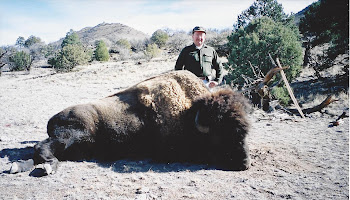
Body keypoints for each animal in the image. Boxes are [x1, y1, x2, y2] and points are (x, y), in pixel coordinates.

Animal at [10, 70, 250, 175]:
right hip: (71, 136)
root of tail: (53, 118)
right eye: (221, 133)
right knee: (41, 147)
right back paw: (48, 167)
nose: (244, 163)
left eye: (245, 131)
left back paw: (18, 167)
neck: (189, 113)